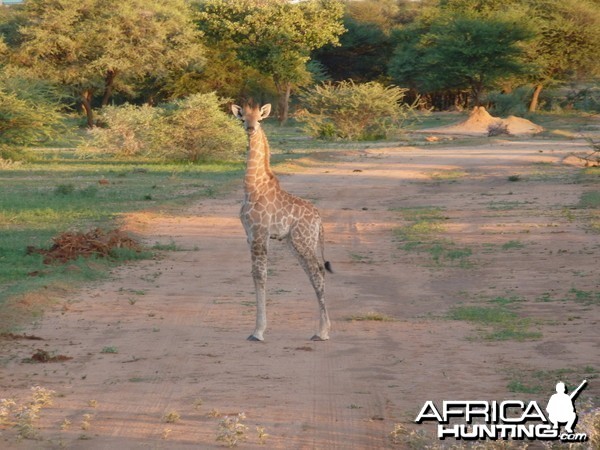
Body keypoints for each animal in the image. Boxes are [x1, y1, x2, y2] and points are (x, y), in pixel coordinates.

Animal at [231, 101, 332, 342]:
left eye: (259, 119)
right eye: (243, 119)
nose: (250, 129)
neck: (252, 188)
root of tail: (319, 220)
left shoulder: (260, 233)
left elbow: (260, 275)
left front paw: (258, 332)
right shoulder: (249, 235)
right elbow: (255, 275)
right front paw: (257, 329)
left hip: (303, 240)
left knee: (317, 271)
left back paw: (323, 332)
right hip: (294, 242)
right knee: (313, 271)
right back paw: (322, 329)